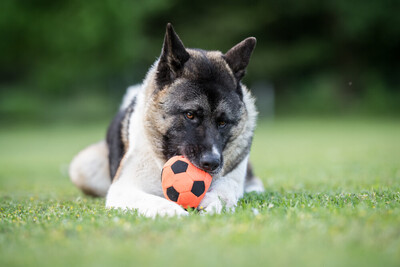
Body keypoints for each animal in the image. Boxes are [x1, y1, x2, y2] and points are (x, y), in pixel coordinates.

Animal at [70, 23, 264, 218]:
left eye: (223, 123)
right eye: (190, 115)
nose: (212, 163)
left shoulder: (233, 173)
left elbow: (227, 188)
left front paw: (214, 203)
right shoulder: (123, 189)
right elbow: (155, 201)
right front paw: (175, 212)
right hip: (83, 166)